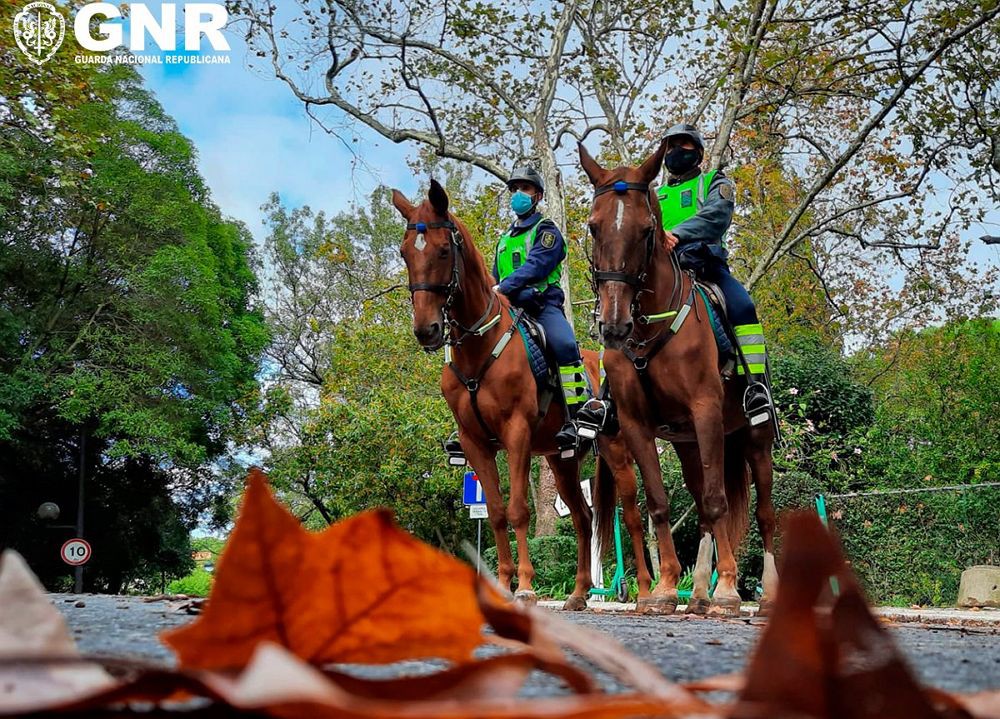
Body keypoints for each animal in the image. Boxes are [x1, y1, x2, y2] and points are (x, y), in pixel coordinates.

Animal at [390, 179, 640, 608]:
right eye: (406, 253)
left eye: (442, 250)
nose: (426, 330)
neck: (480, 346)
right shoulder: (475, 442)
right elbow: (494, 512)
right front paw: (501, 584)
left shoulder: (516, 433)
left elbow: (519, 509)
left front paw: (524, 586)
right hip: (561, 460)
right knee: (582, 517)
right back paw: (578, 593)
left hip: (616, 449)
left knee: (635, 506)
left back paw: (652, 589)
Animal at [580, 141, 780, 620]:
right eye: (594, 227)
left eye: (647, 229)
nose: (613, 325)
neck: (651, 325)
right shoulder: (636, 425)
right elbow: (658, 503)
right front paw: (668, 588)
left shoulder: (705, 411)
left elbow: (718, 500)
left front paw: (728, 591)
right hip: (689, 444)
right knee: (705, 506)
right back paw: (701, 593)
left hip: (753, 438)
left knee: (761, 511)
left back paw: (758, 593)